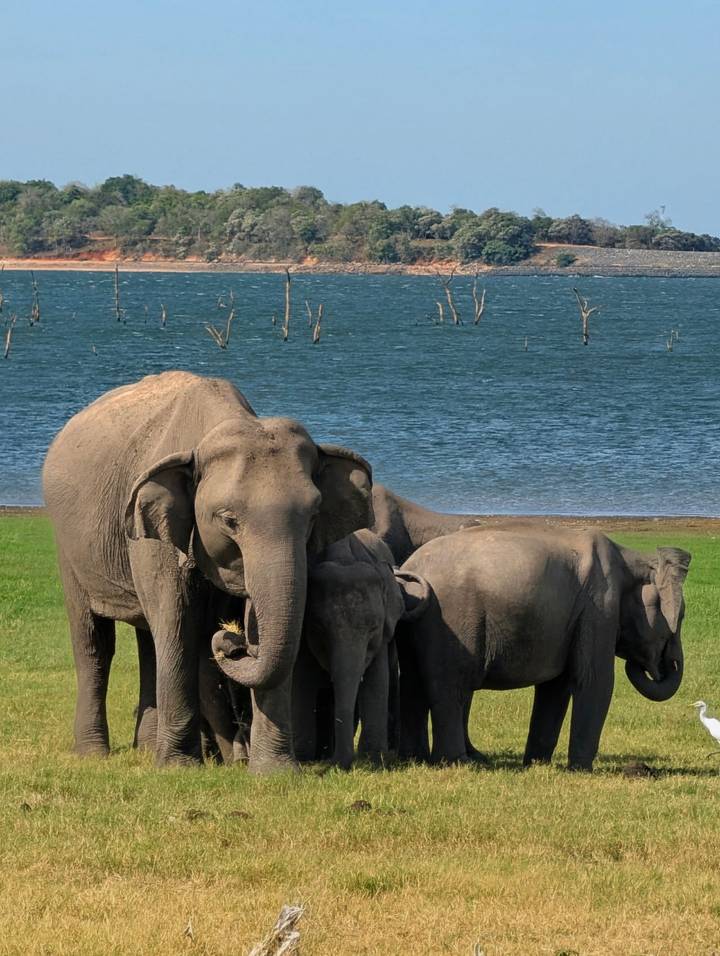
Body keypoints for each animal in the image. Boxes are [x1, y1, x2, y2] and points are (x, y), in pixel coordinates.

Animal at [43, 370, 372, 773]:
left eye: (312, 517)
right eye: (229, 520)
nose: (231, 645)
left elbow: (255, 618)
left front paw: (275, 772)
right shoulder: (152, 533)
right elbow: (177, 622)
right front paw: (178, 767)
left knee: (149, 641)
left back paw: (146, 748)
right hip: (67, 544)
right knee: (95, 641)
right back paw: (94, 753)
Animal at [396, 526, 690, 770]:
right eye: (683, 617)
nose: (643, 665)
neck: (633, 559)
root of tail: (410, 569)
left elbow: (556, 687)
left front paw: (537, 764)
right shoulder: (600, 608)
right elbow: (595, 680)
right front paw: (580, 770)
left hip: (419, 622)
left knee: (412, 683)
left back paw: (416, 760)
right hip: (449, 619)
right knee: (449, 684)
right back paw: (458, 763)